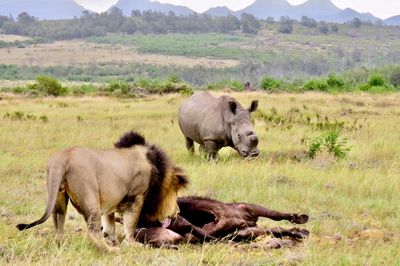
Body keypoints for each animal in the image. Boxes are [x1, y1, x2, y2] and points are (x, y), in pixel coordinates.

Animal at [16, 131, 188, 251]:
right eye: (176, 193)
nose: (178, 211)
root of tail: (62, 158)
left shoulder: (111, 201)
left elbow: (109, 224)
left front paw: (113, 240)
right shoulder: (136, 197)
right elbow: (130, 225)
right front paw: (131, 245)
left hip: (59, 196)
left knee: (58, 223)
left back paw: (62, 245)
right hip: (90, 199)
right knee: (93, 232)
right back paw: (111, 250)